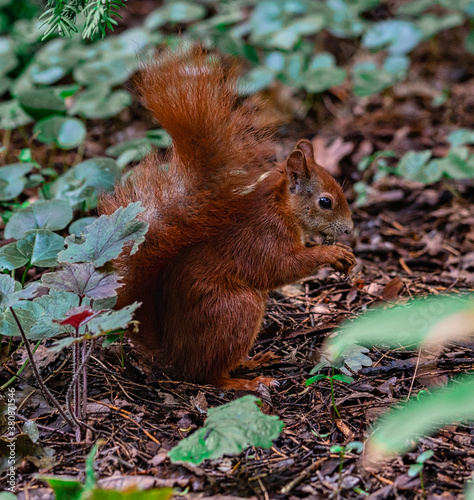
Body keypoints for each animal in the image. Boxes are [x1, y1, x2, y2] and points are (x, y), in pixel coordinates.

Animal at [99, 46, 356, 390]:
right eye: (325, 202)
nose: (349, 229)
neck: (281, 207)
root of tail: (174, 355)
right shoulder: (265, 238)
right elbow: (283, 267)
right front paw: (333, 253)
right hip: (236, 310)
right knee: (209, 376)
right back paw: (245, 382)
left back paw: (253, 361)